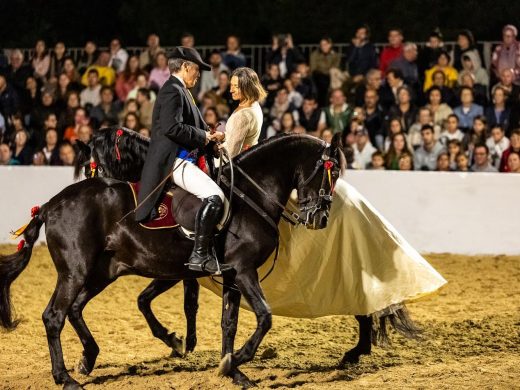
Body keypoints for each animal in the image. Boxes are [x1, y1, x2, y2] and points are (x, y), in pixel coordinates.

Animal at [2, 133, 344, 386]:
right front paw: (235, 360)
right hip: (75, 271)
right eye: (331, 172)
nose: (321, 218)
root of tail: (51, 205)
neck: (251, 194)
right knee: (55, 315)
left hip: (102, 271)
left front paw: (231, 369)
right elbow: (265, 316)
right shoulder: (244, 271)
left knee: (74, 308)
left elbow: (228, 323)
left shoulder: (231, 274)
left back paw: (88, 357)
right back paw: (65, 378)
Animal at [75, 128, 420, 368]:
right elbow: (162, 302)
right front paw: (184, 343)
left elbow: (173, 303)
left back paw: (357, 350)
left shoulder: (197, 268)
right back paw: (357, 350)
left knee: (363, 303)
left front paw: (187, 344)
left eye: (334, 173)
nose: (320, 217)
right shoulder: (189, 269)